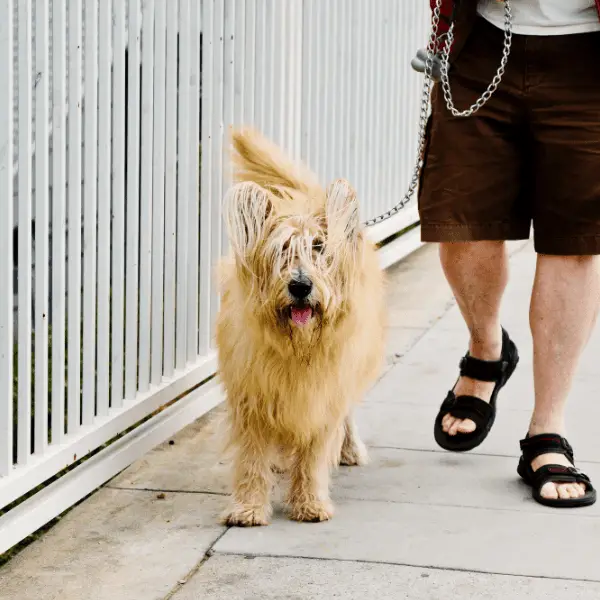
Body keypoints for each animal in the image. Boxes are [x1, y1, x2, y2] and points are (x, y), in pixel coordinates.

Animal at [216, 127, 384, 524]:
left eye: (320, 248)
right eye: (282, 251)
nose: (300, 286)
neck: (298, 347)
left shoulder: (323, 395)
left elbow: (313, 454)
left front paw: (310, 502)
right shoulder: (253, 396)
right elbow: (252, 457)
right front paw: (248, 507)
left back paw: (349, 449)